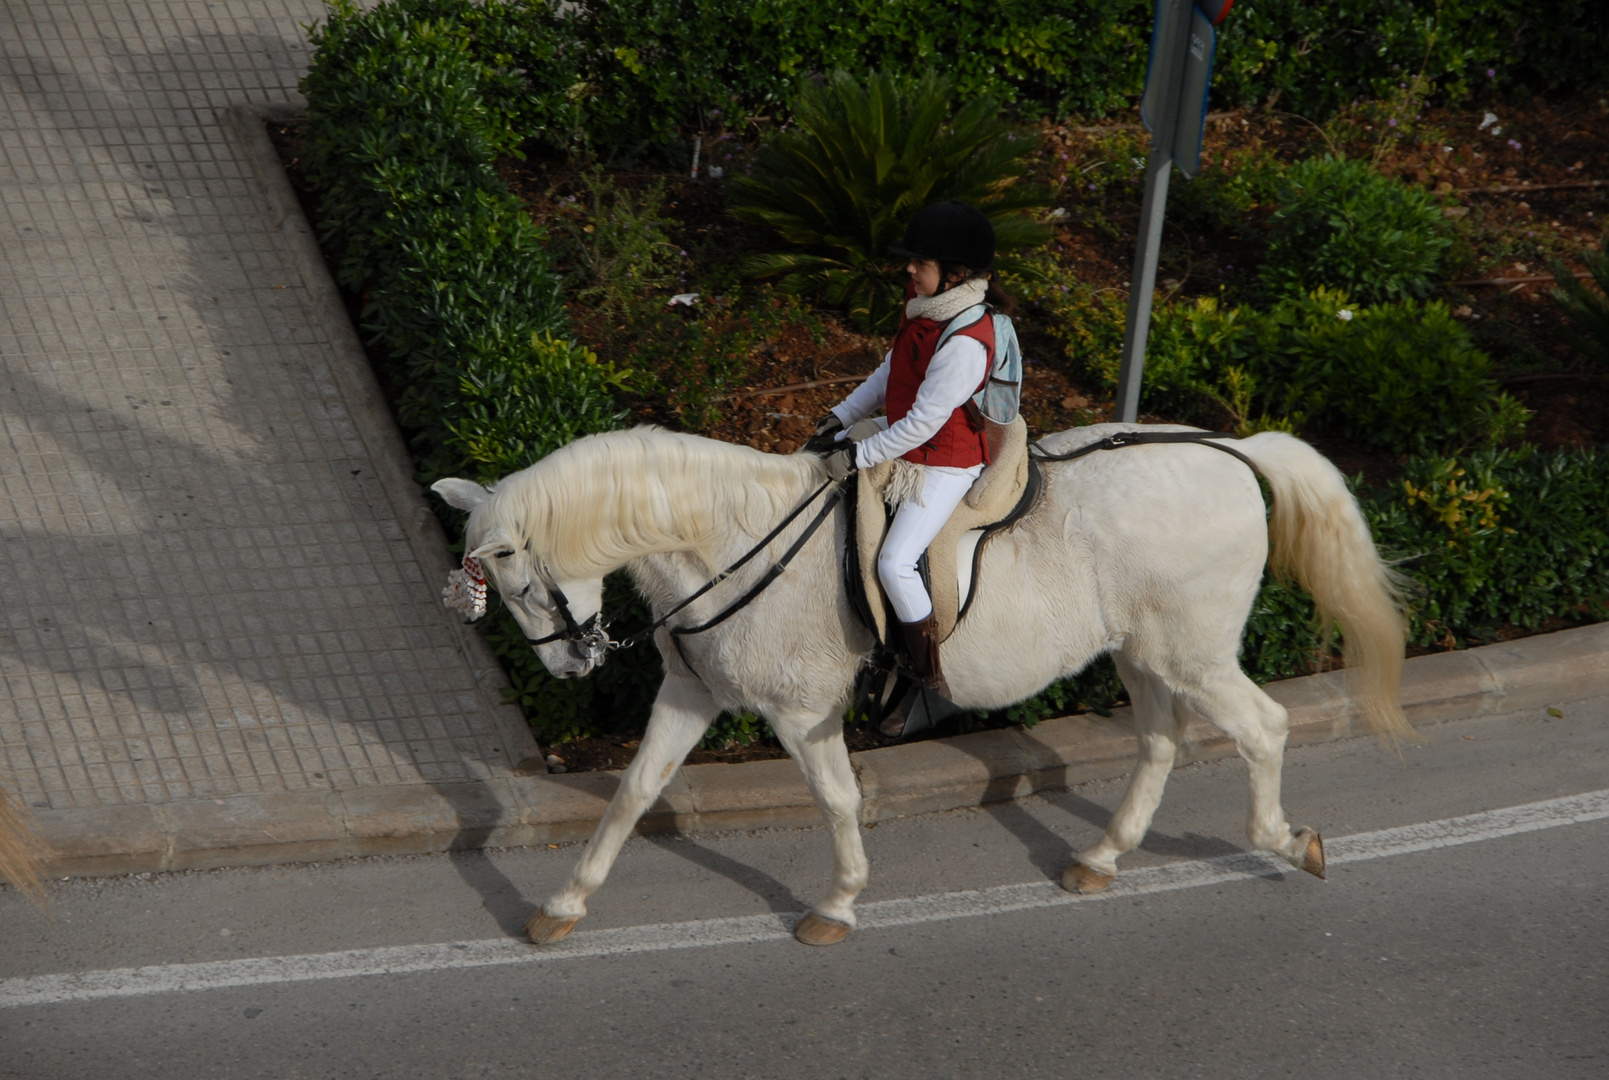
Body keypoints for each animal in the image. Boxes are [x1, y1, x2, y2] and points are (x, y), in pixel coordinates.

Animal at [437, 421, 1409, 946]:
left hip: (1191, 653)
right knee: (1160, 742)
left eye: (518, 585)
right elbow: (633, 793)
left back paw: (1286, 840)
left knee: (1261, 728)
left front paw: (836, 903)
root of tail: (1231, 450)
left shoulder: (799, 712)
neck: (731, 538)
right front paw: (562, 905)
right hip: (1142, 653)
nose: (570, 664)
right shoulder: (692, 696)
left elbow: (836, 800)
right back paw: (1102, 856)